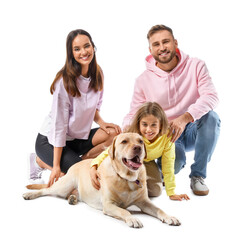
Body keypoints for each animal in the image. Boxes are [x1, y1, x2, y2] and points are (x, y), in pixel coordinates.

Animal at [23, 132, 180, 228]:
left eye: (140, 141)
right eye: (124, 141)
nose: (138, 148)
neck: (126, 178)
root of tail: (76, 164)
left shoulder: (144, 202)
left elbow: (159, 209)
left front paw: (169, 217)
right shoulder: (109, 205)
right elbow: (125, 211)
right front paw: (133, 219)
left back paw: (72, 198)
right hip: (63, 185)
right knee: (46, 190)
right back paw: (29, 194)